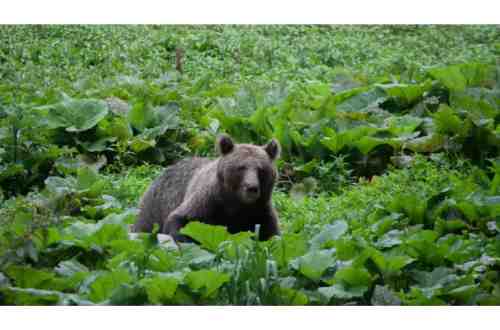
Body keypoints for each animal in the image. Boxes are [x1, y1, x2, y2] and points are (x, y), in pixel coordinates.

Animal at [132, 134, 282, 242]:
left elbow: (272, 235)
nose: (252, 187)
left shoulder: (260, 211)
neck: (237, 204)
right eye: (241, 167)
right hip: (155, 206)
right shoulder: (208, 202)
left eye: (261, 169)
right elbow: (180, 219)